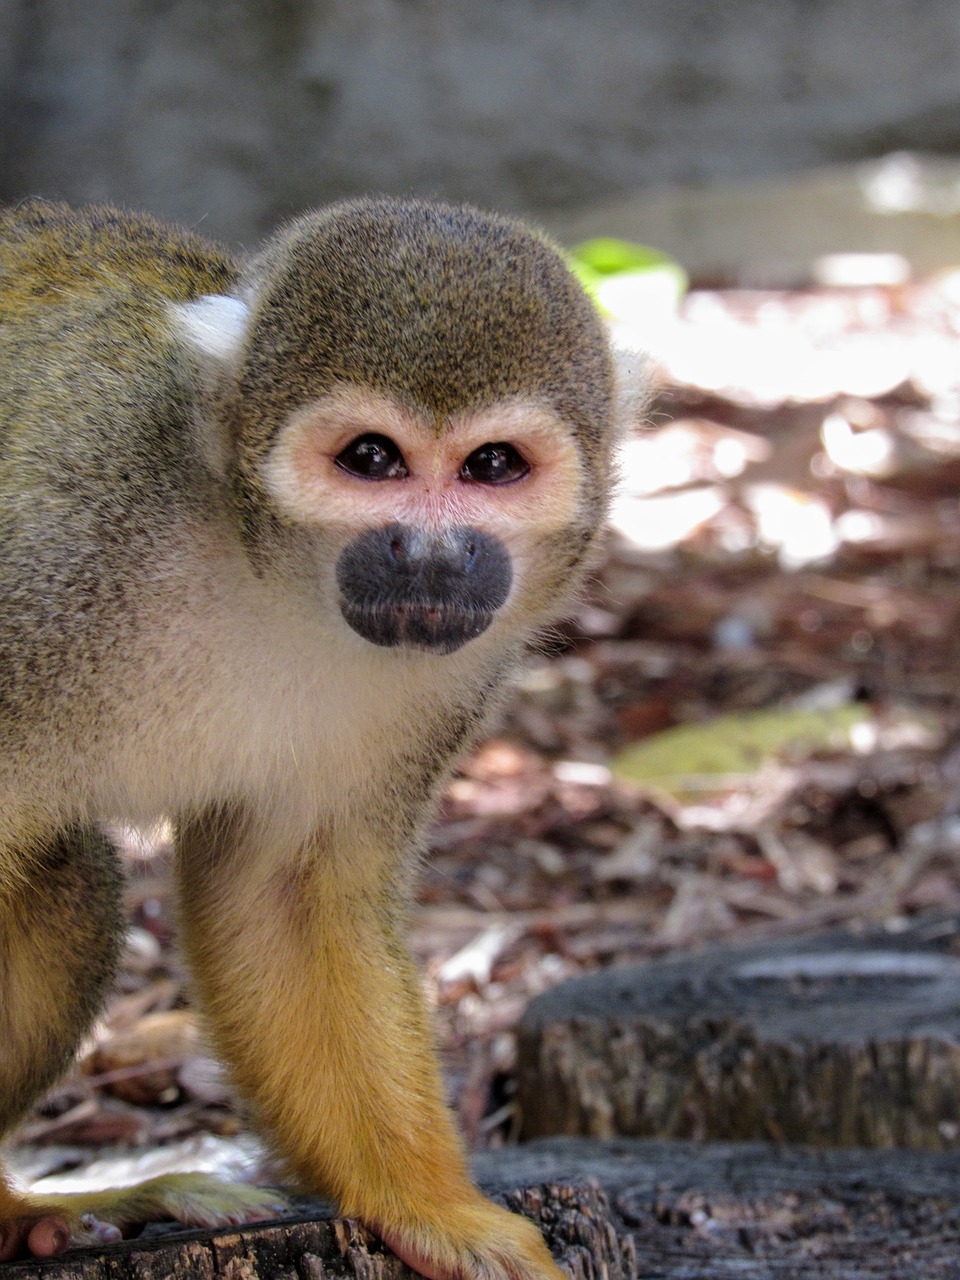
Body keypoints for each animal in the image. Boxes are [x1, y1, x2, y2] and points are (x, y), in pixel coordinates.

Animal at [0, 197, 616, 1280]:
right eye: (371, 458)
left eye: (492, 465)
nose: (429, 552)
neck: (262, 573)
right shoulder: (54, 545)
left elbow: (282, 888)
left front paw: (430, 1208)